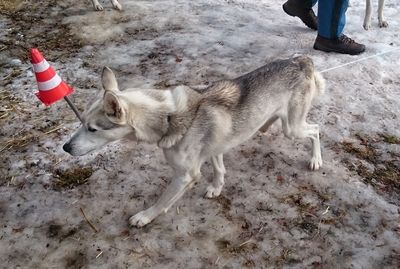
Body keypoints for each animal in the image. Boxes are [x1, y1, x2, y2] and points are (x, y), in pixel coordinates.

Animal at [62, 56, 324, 226]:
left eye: (92, 129)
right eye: (81, 122)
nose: (65, 147)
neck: (168, 117)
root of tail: (301, 61)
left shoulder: (185, 176)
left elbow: (162, 201)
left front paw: (145, 216)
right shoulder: (215, 148)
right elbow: (219, 169)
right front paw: (217, 188)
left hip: (293, 129)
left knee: (316, 130)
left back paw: (316, 160)